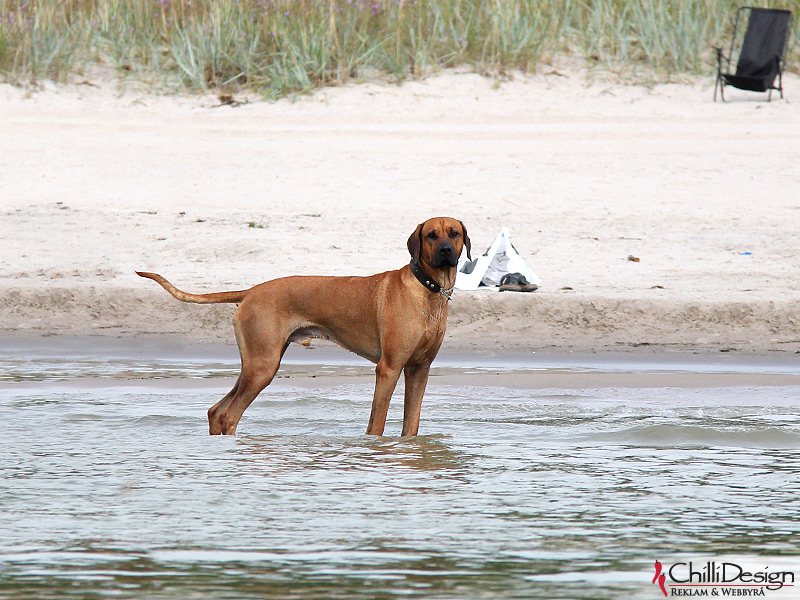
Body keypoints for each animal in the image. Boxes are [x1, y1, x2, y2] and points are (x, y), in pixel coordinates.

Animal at [138, 216, 468, 436]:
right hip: (262, 366)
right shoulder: (388, 368)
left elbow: (411, 426)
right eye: (431, 235)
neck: (427, 291)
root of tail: (251, 291)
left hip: (255, 364)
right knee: (229, 415)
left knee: (216, 411)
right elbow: (376, 424)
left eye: (454, 233)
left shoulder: (419, 369)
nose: (445, 251)